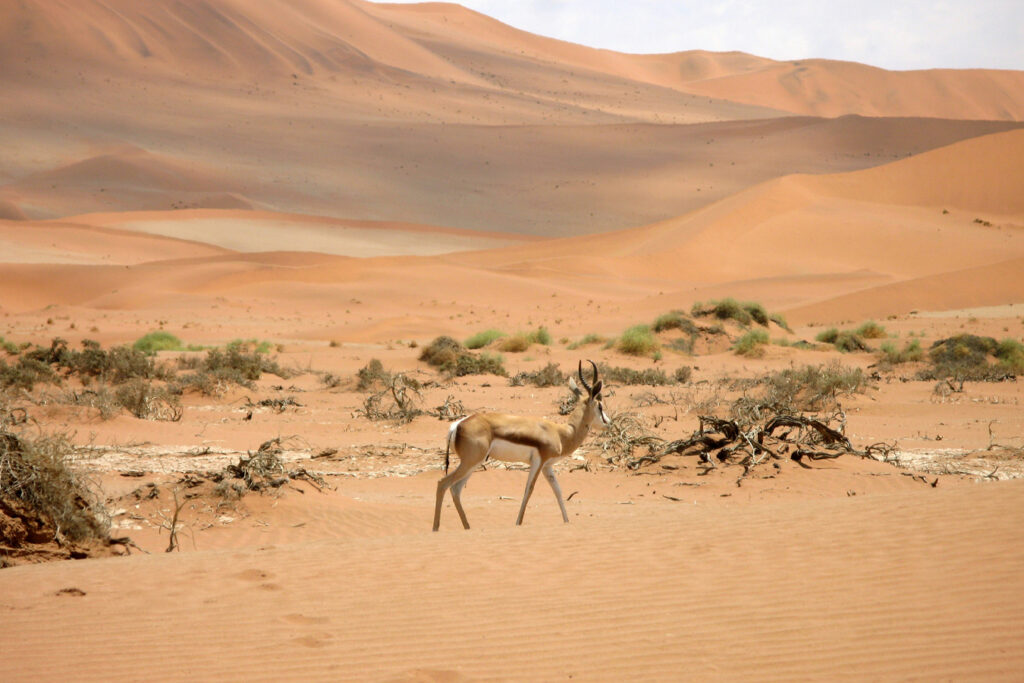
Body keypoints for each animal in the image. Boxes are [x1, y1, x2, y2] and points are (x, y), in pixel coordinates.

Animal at [433, 360, 609, 531]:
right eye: (600, 406)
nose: (608, 422)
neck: (561, 433)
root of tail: (458, 425)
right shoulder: (538, 462)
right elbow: (529, 490)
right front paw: (518, 523)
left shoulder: (547, 466)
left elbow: (558, 491)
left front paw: (567, 522)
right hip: (470, 462)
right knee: (443, 483)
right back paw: (436, 528)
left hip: (474, 463)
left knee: (455, 489)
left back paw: (467, 527)